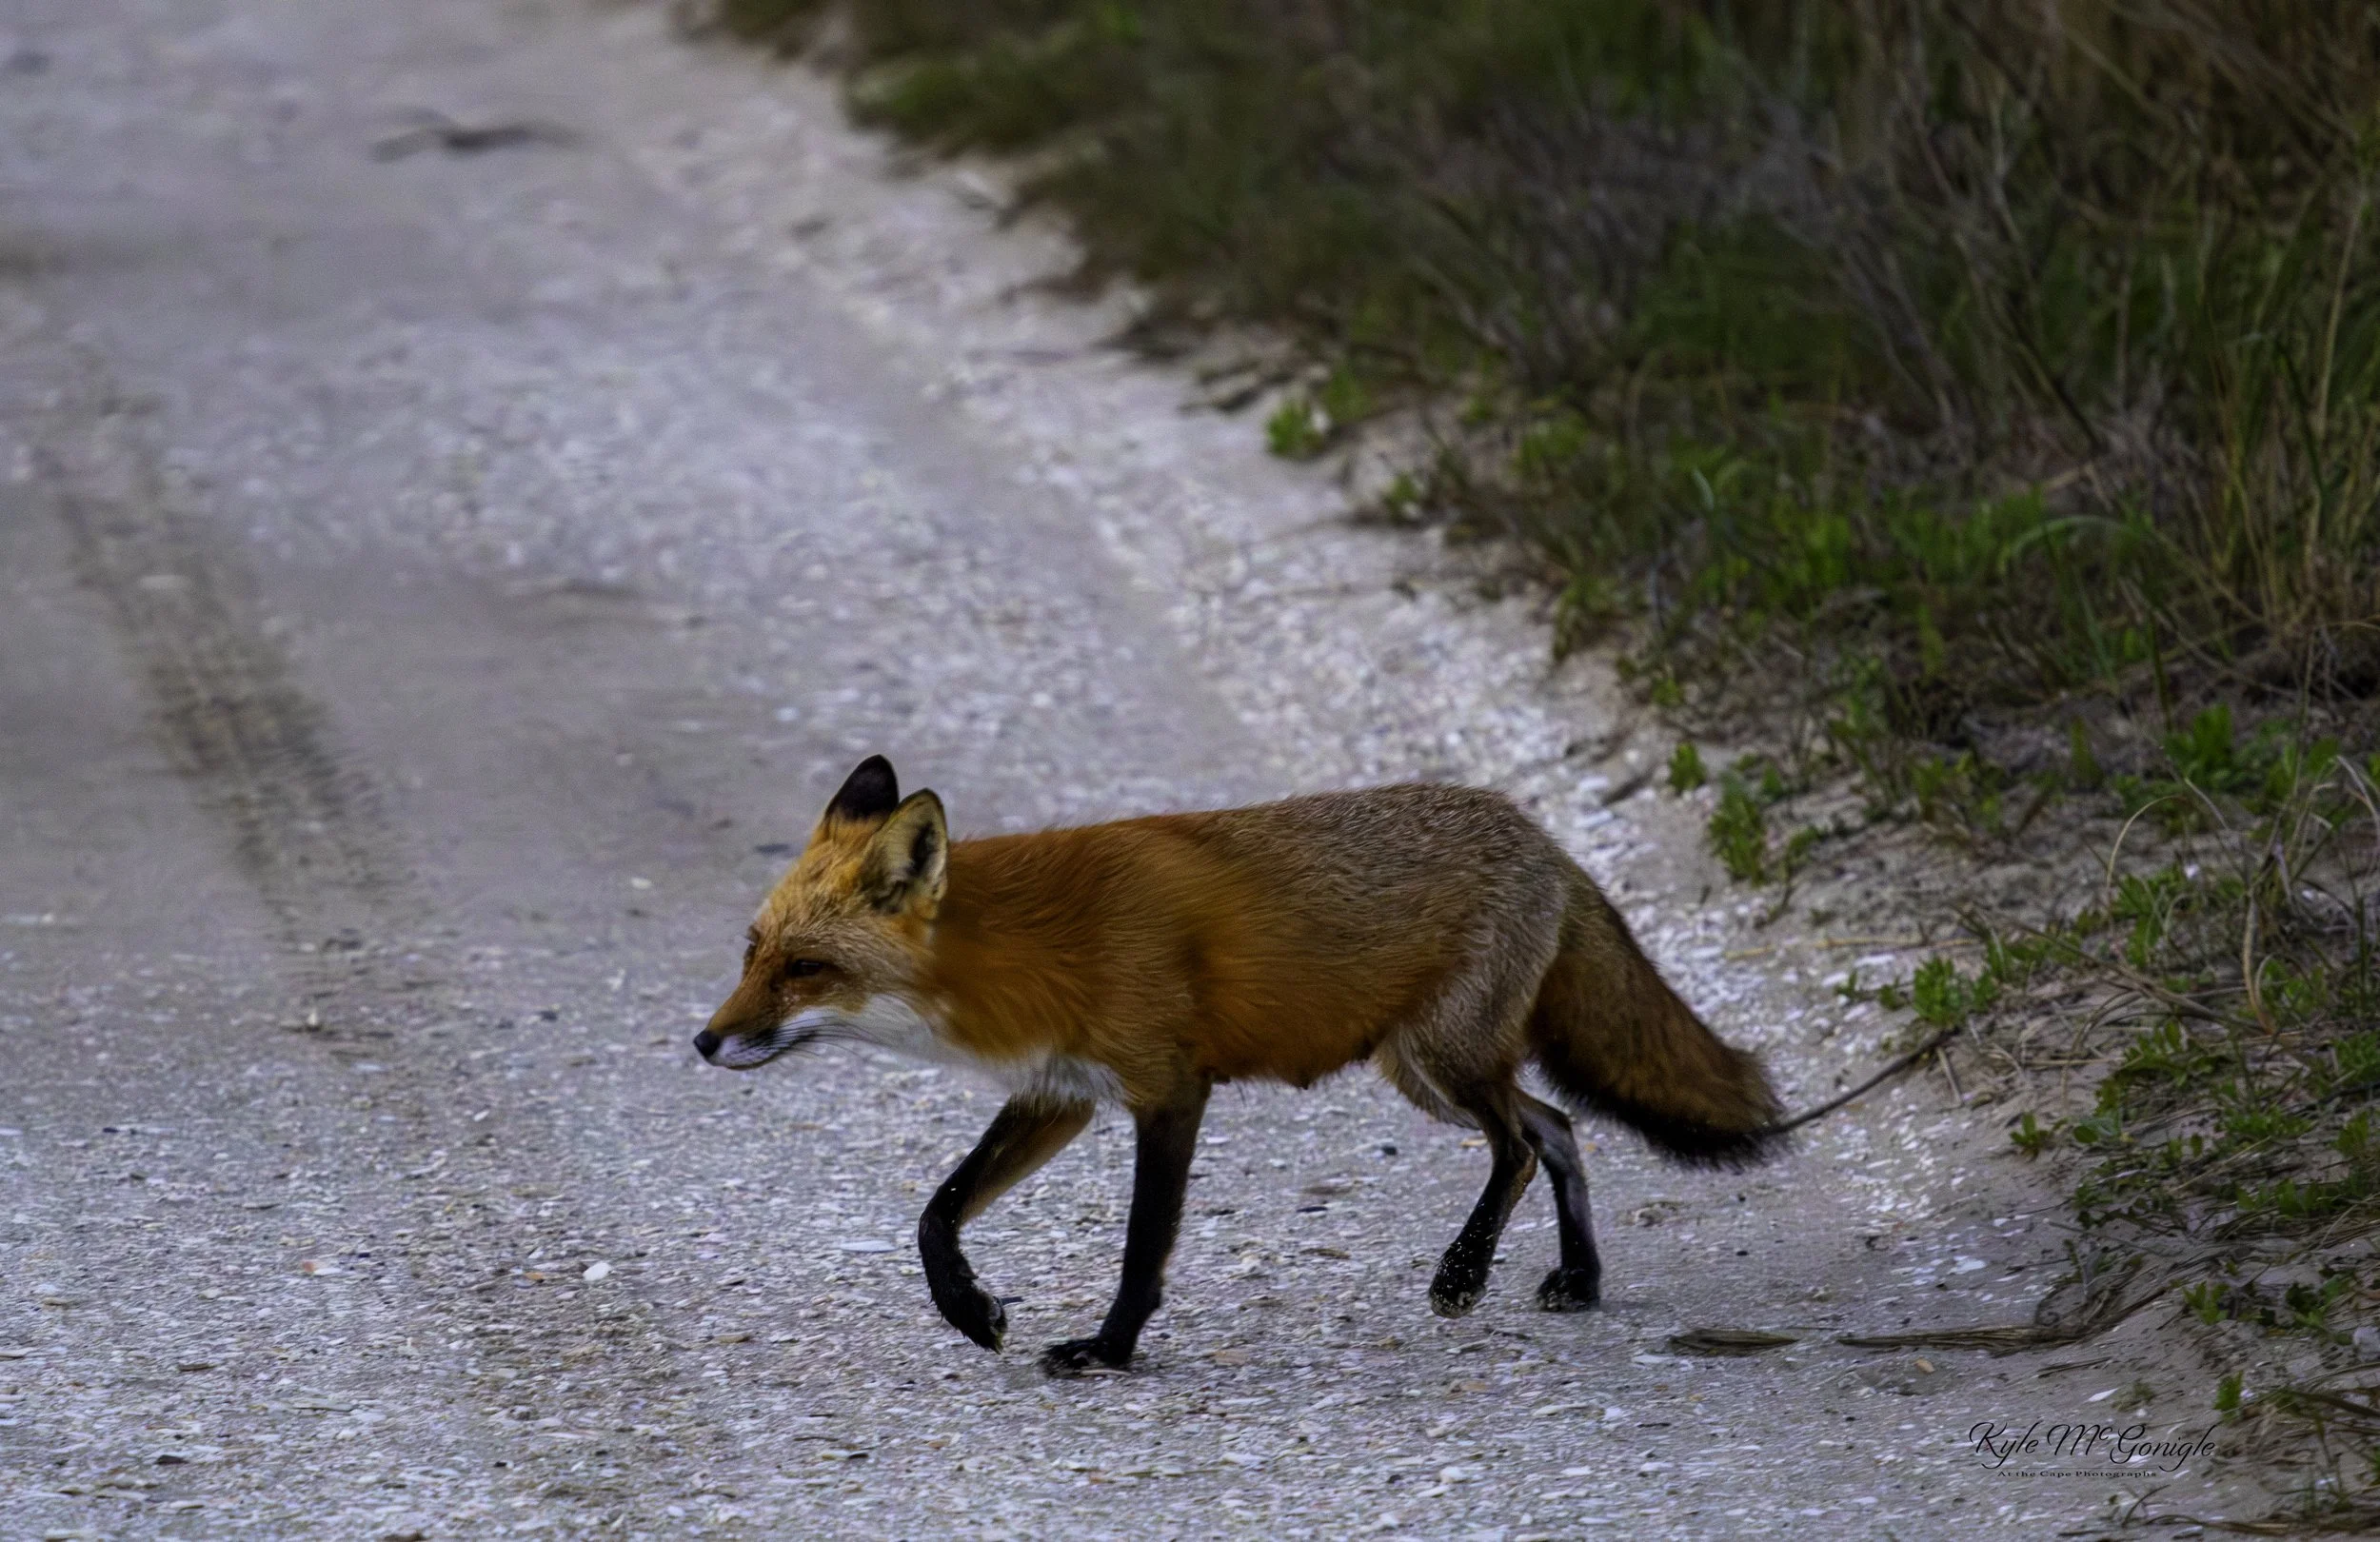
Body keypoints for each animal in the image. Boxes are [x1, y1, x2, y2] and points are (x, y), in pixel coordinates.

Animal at [695, 755, 1781, 1377]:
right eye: (751, 952)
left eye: (805, 969)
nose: (704, 1043)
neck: (1030, 947)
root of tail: (1541, 834)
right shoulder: (1061, 1093)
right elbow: (936, 1213)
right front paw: (969, 1311)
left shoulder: (1169, 1089)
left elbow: (1142, 1246)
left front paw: (1109, 1350)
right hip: (1422, 1070)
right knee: (1558, 1124)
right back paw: (1580, 1277)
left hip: (1439, 1059)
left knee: (1517, 1142)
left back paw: (1464, 1272)